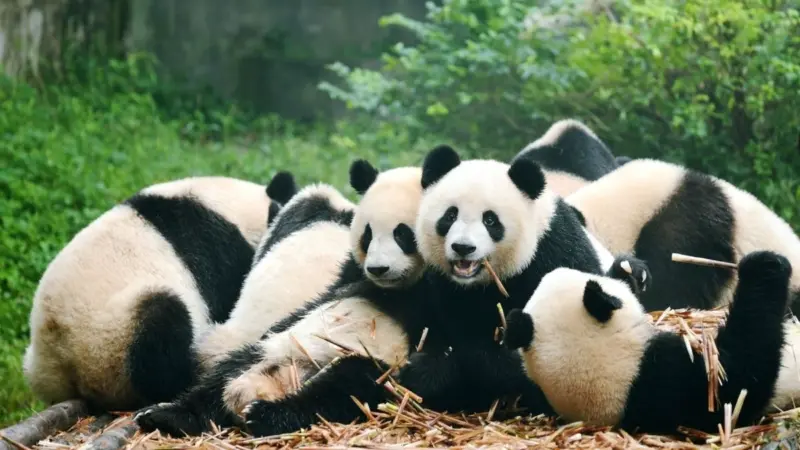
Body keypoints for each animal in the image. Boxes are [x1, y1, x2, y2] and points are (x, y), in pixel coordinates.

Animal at [391, 144, 621, 414]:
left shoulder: (554, 253)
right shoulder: (441, 286)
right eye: (450, 216)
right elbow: (440, 331)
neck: (482, 284)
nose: (463, 248)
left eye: (490, 220)